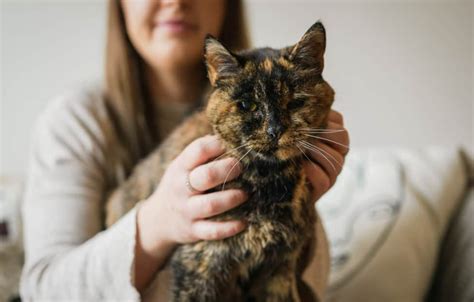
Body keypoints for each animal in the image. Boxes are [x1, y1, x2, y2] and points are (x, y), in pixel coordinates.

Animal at [105, 21, 336, 302]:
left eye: (295, 103)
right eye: (247, 104)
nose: (275, 130)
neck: (269, 181)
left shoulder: (279, 270)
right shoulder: (199, 264)